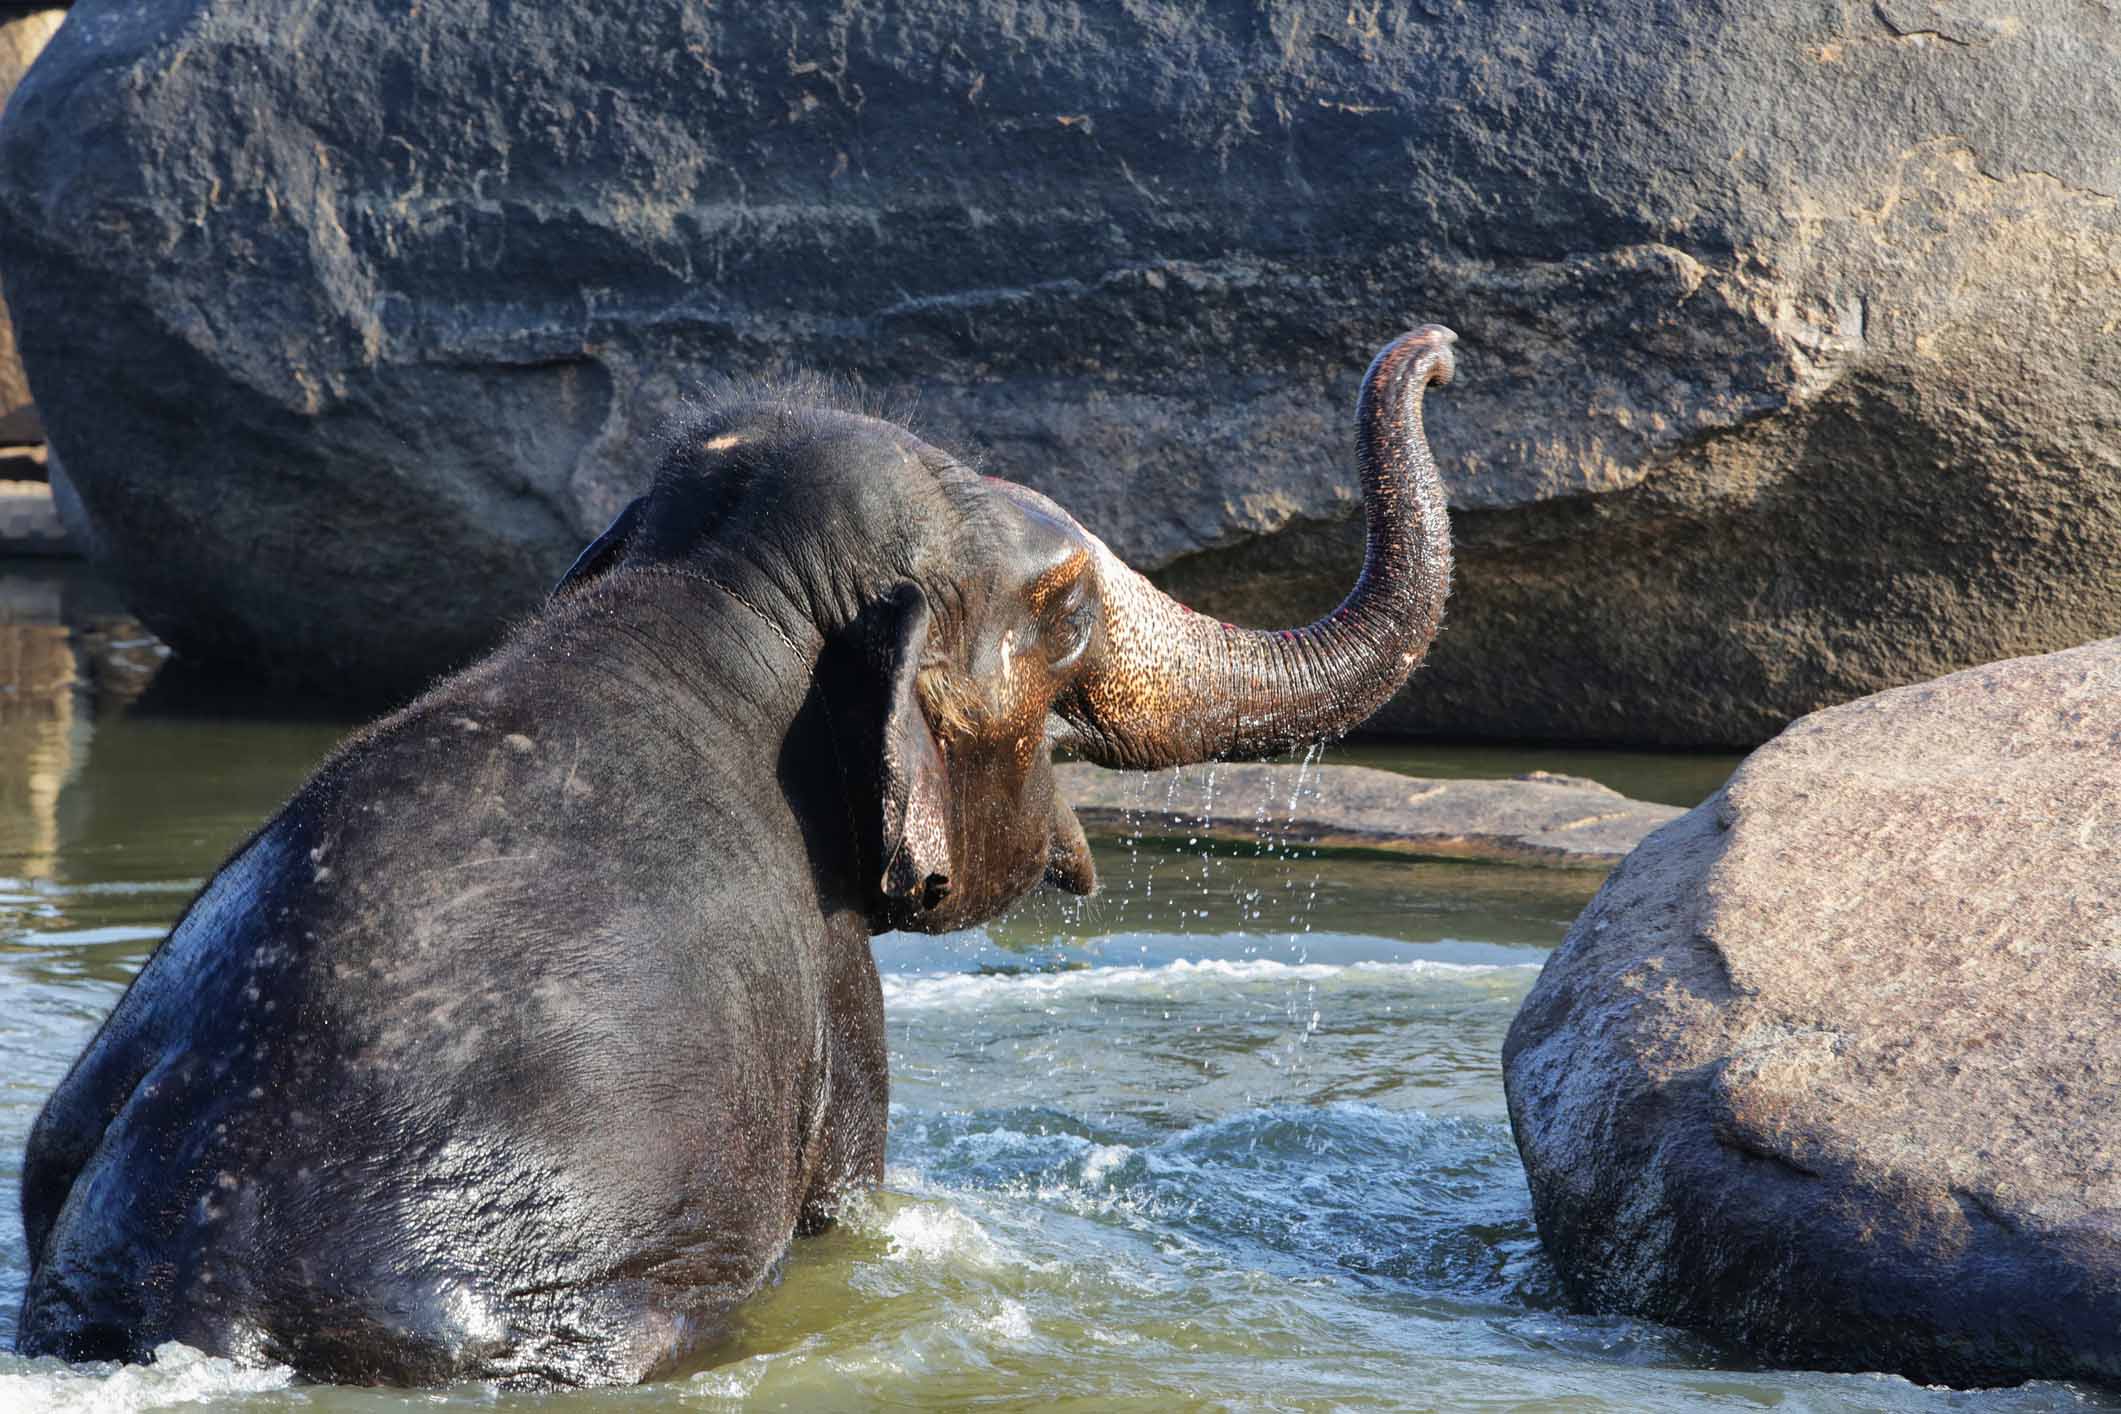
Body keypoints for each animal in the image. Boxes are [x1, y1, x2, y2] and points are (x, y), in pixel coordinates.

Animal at [12, 326, 1459, 1390]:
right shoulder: (825, 978)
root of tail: (209, 1308)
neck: (716, 593)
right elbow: (849, 1189)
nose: (1439, 353)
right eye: (1065, 609)